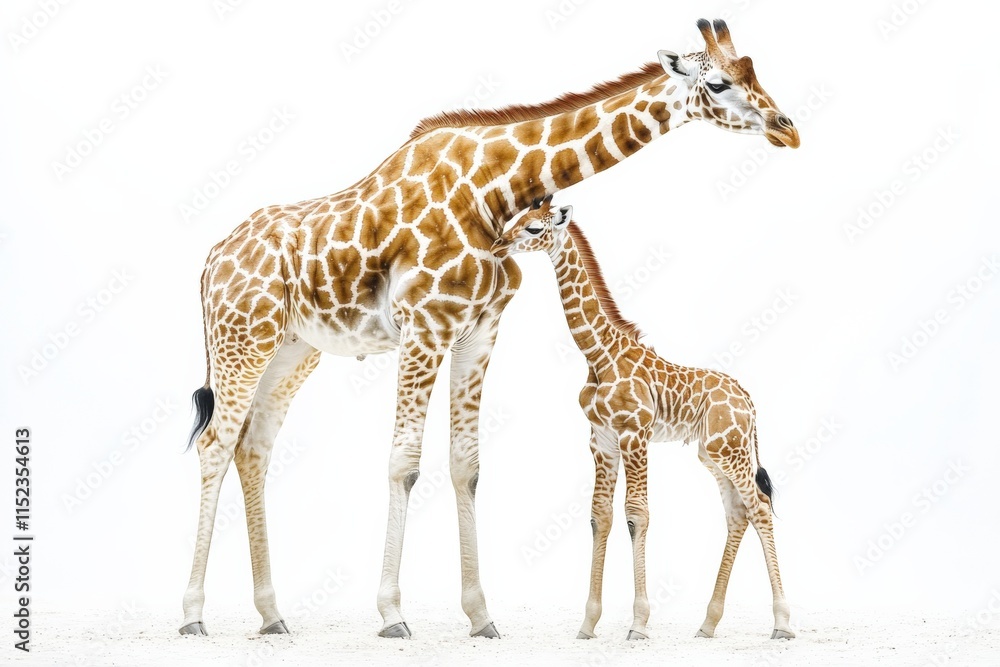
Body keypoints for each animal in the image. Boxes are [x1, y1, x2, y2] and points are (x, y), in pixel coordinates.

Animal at [493, 197, 794, 641]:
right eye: (515, 219)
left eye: (532, 228)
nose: (497, 245)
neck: (598, 354)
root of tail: (748, 400)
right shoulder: (600, 439)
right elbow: (600, 516)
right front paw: (588, 625)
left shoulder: (634, 433)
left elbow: (637, 514)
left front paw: (637, 624)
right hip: (713, 453)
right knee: (738, 514)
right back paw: (707, 625)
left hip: (732, 450)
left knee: (759, 507)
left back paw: (783, 623)